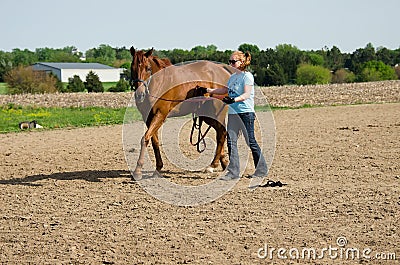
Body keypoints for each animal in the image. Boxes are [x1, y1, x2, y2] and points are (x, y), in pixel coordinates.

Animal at [129, 46, 234, 178]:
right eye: (132, 67)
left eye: (148, 68)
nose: (139, 95)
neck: (158, 83)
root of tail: (222, 70)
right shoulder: (148, 118)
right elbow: (154, 141)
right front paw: (158, 167)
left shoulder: (160, 115)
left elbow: (145, 138)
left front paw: (137, 170)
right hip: (207, 115)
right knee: (221, 132)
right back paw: (223, 163)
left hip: (216, 113)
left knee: (221, 134)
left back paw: (213, 165)